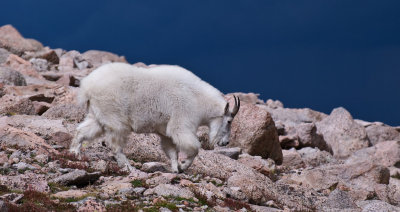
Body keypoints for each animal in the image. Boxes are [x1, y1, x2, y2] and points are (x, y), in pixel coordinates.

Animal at [69, 62, 241, 172]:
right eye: (229, 121)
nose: (225, 143)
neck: (198, 99)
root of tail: (87, 87)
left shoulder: (165, 132)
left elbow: (171, 150)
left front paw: (176, 169)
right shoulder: (182, 122)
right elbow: (193, 147)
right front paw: (184, 165)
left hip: (98, 114)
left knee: (83, 131)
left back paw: (75, 153)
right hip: (115, 116)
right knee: (115, 144)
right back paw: (128, 167)